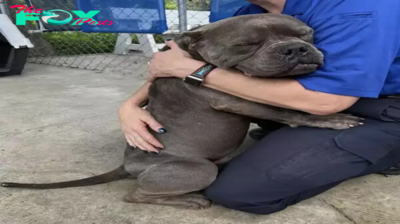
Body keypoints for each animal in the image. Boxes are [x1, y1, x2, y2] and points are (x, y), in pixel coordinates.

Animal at [0, 13, 364, 210]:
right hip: (197, 170)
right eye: (246, 45)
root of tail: (127, 165)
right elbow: (288, 111)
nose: (296, 48)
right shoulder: (236, 99)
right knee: (138, 195)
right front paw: (331, 120)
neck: (196, 61)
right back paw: (190, 199)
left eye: (306, 34)